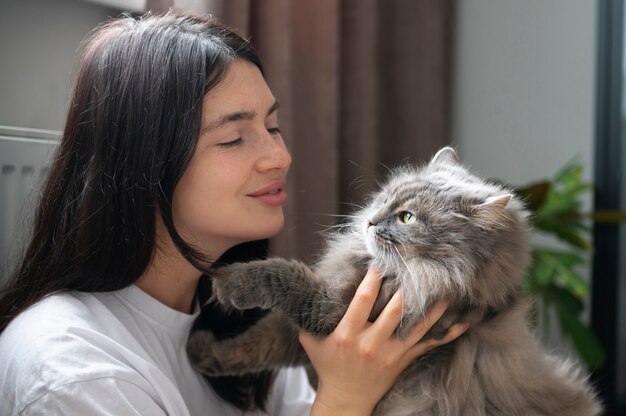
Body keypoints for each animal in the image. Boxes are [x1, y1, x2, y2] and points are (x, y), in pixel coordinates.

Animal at [185, 148, 600, 414]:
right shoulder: (304, 334)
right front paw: (200, 352)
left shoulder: (332, 311)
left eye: (407, 218)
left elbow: (283, 276)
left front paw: (229, 284)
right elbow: (255, 344)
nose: (370, 221)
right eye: (384, 198)